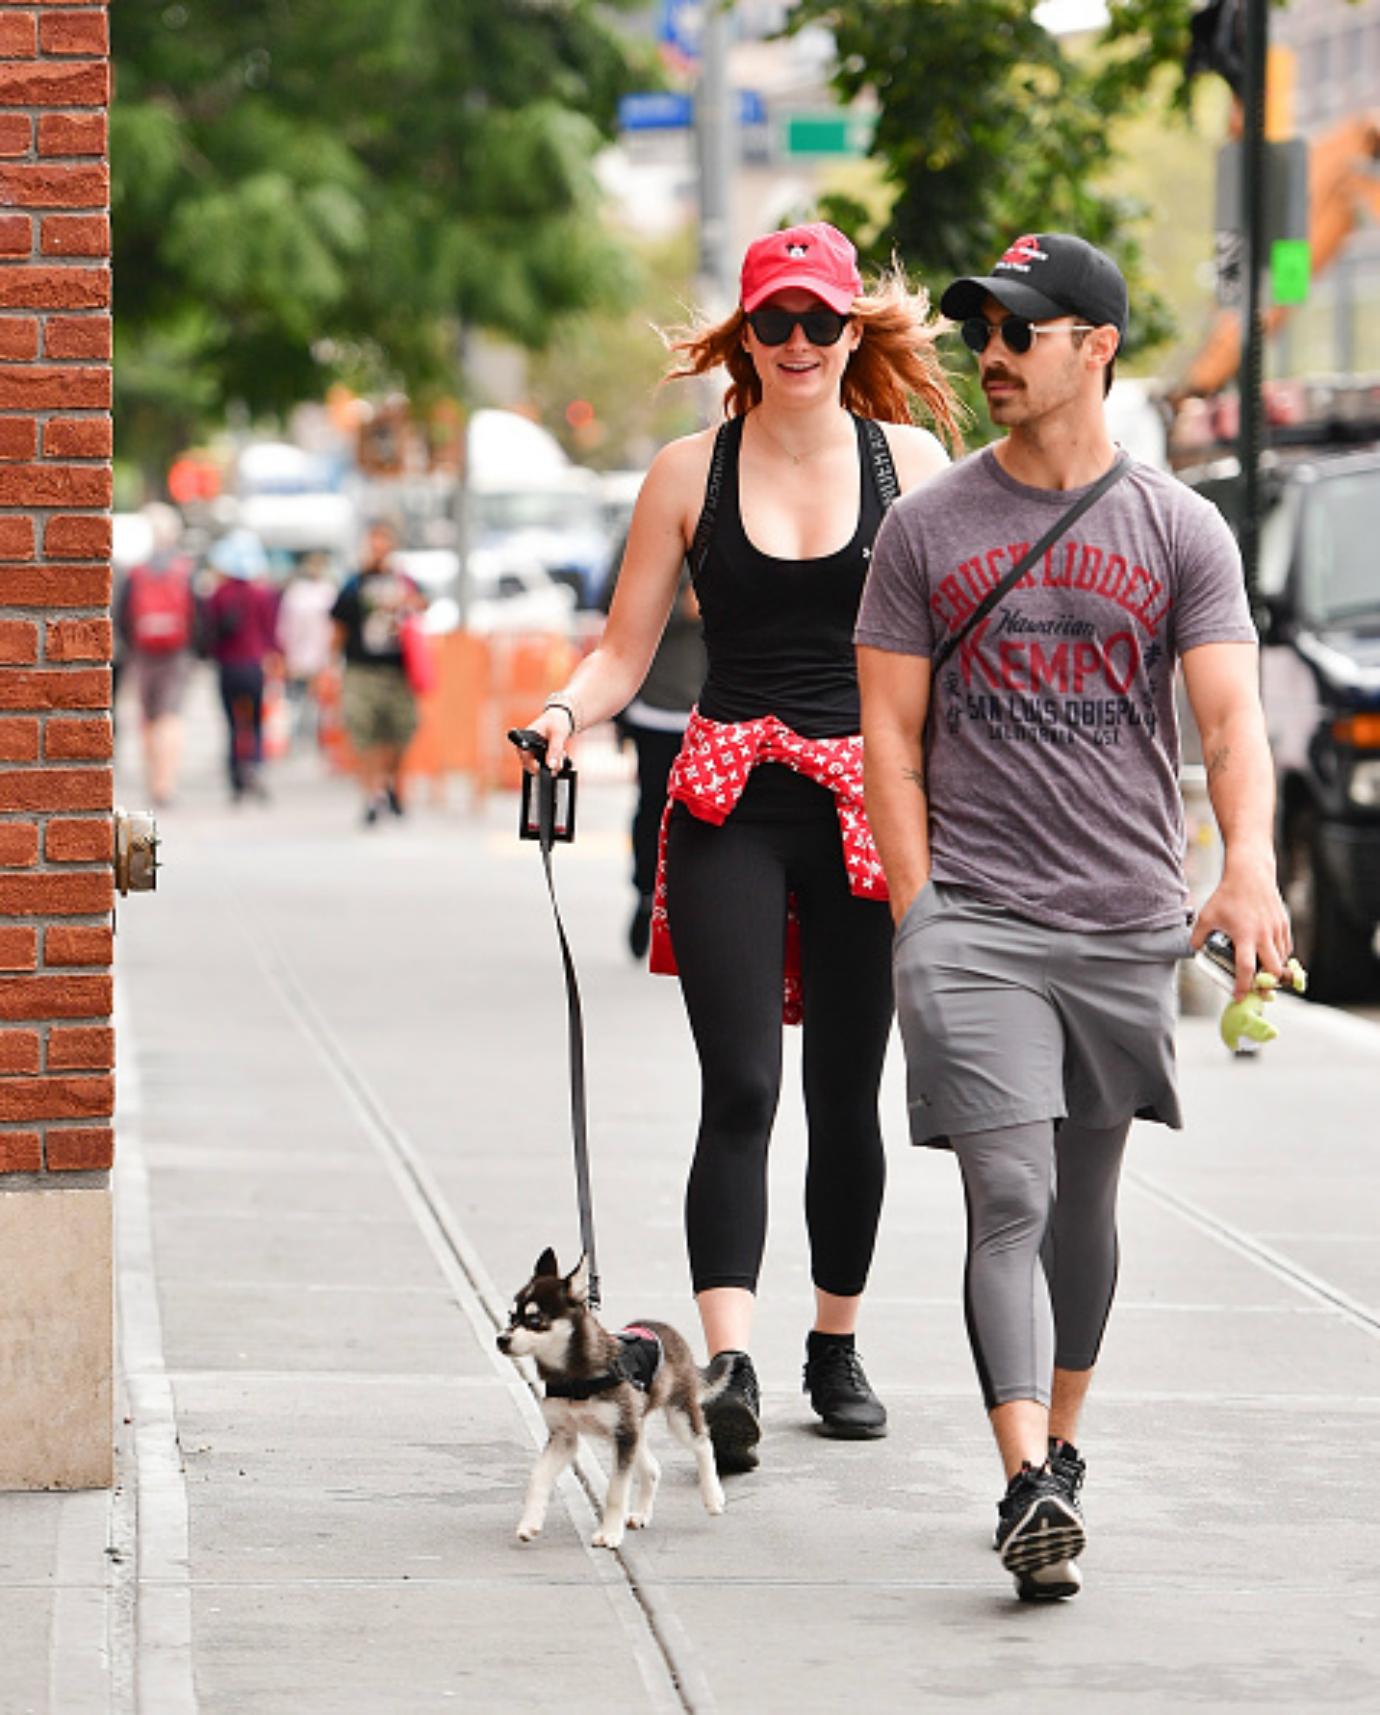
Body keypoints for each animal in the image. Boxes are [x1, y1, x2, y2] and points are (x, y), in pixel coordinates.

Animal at [500, 1248, 726, 1557]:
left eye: (535, 1321)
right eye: (511, 1316)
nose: (501, 1339)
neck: (574, 1378)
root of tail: (666, 1329)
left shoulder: (623, 1435)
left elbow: (616, 1491)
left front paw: (608, 1533)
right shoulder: (565, 1438)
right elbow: (537, 1478)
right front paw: (530, 1524)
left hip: (677, 1415)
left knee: (703, 1442)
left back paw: (713, 1496)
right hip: (633, 1427)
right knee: (652, 1469)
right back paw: (641, 1514)